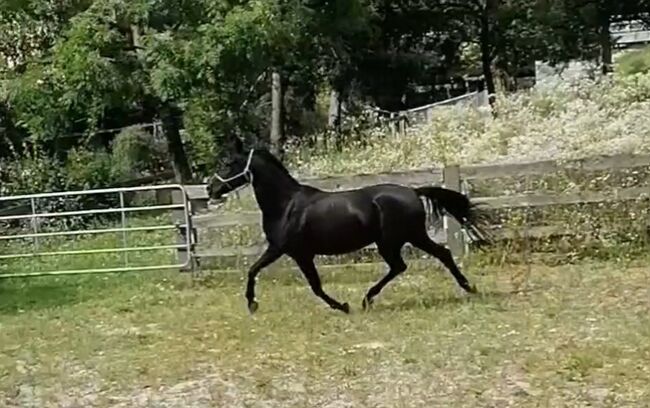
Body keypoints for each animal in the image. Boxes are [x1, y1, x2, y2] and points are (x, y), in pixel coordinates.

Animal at [209, 142, 492, 314]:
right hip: (411, 237)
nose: (210, 189)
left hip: (394, 240)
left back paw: (367, 299)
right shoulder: (286, 250)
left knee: (402, 265)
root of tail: (413, 192)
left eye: (229, 163)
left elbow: (311, 285)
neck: (286, 204)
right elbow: (255, 270)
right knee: (437, 255)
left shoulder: (292, 251)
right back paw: (469, 288)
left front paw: (343, 306)